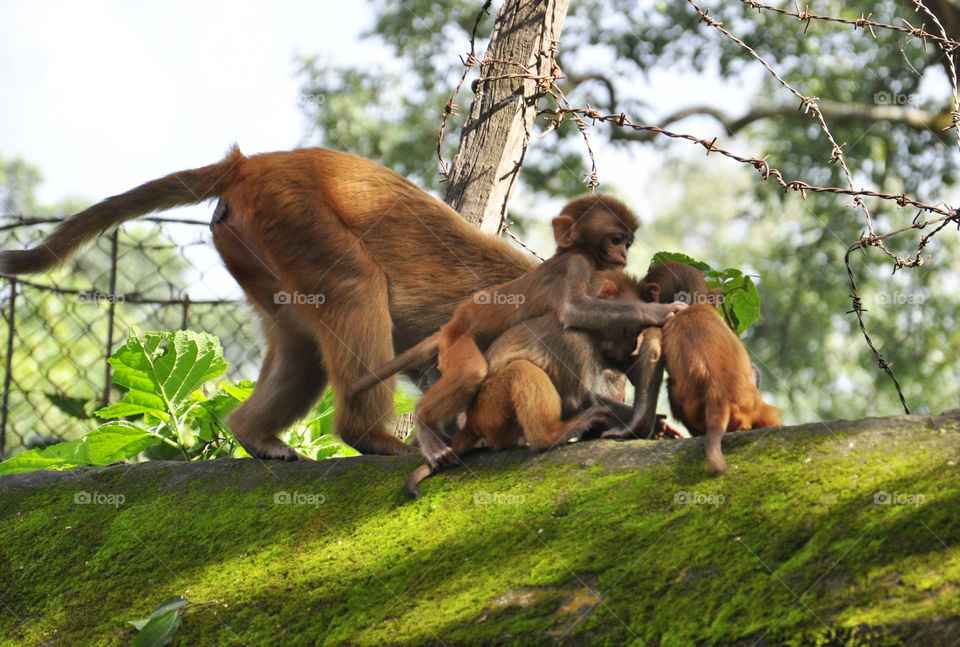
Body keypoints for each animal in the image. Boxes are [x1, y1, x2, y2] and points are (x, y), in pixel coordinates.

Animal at [350, 197, 687, 470]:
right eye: (616, 239)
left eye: (627, 243)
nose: (623, 254)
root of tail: (451, 326)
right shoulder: (575, 265)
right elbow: (574, 311)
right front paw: (659, 312)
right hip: (459, 341)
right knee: (472, 372)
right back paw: (426, 422)